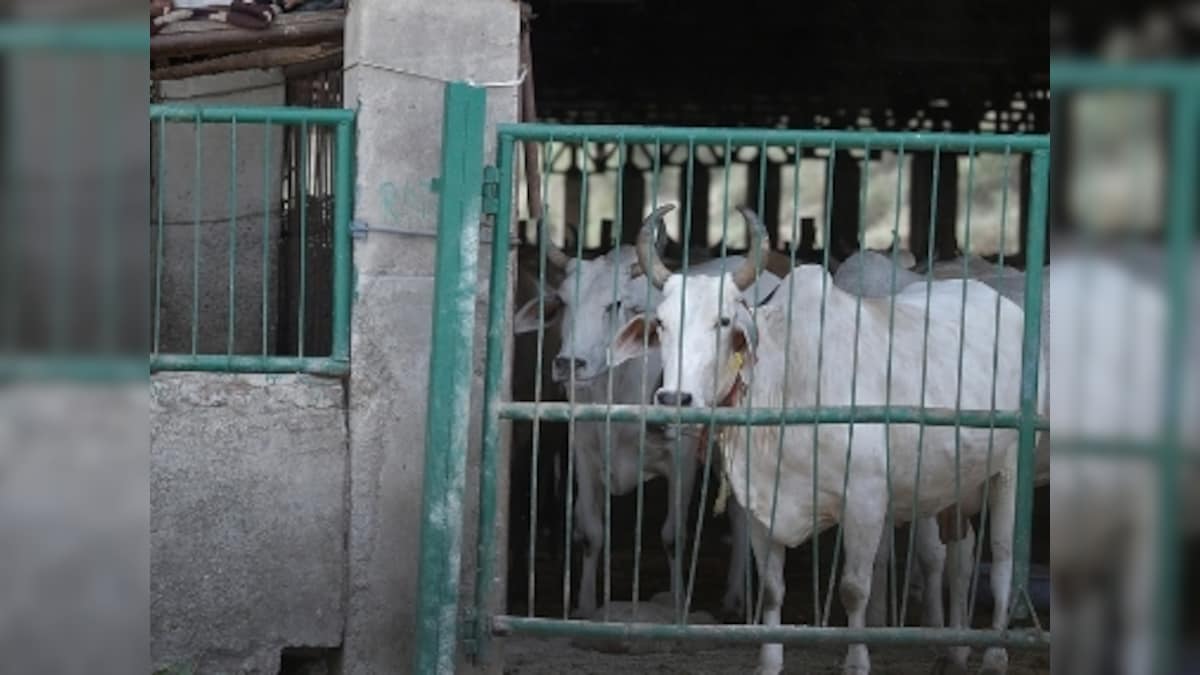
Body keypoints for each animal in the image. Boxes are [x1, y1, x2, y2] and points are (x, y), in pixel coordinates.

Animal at [508, 216, 782, 619]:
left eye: (615, 304)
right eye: (563, 301)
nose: (568, 363)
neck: (615, 388)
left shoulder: (681, 460)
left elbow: (673, 536)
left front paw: (679, 604)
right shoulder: (583, 453)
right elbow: (591, 533)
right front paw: (585, 606)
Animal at [614, 206, 1027, 672]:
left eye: (722, 321)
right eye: (661, 324)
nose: (674, 398)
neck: (786, 379)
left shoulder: (865, 502)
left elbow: (854, 589)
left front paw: (857, 661)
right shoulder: (761, 506)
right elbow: (772, 588)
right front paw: (769, 661)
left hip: (1010, 472)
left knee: (1003, 561)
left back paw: (995, 653)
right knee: (960, 557)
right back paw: (954, 649)